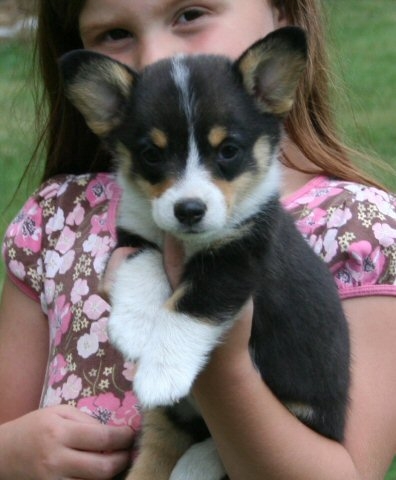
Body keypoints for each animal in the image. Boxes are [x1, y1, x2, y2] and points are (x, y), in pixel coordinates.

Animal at [59, 27, 350, 480]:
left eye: (228, 150)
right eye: (152, 154)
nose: (189, 210)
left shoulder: (237, 258)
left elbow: (187, 308)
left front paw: (160, 373)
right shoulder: (137, 235)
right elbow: (143, 268)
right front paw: (134, 327)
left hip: (307, 410)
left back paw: (193, 465)